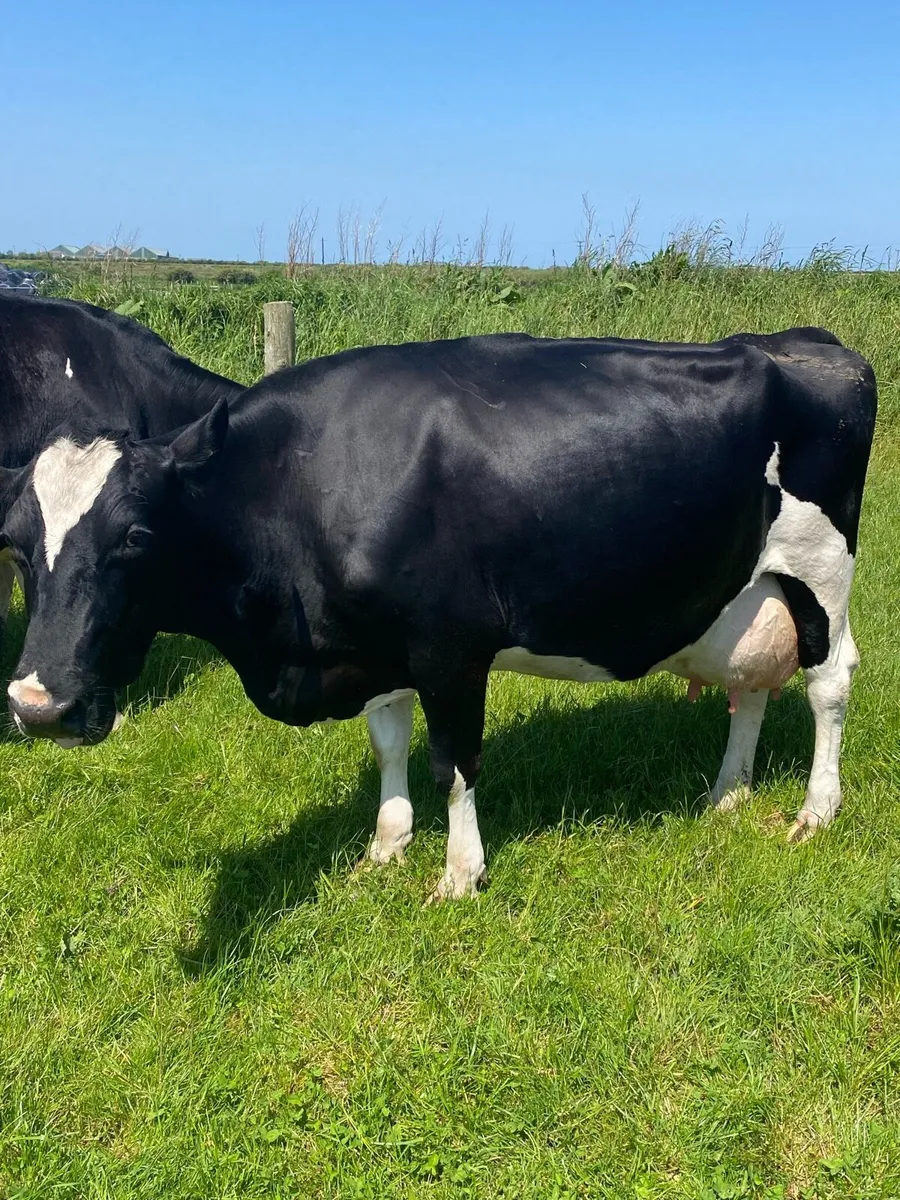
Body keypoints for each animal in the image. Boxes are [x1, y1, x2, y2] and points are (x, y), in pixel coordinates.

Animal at [1, 327, 876, 899]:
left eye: (137, 536)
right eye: (13, 543)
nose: (37, 705)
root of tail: (809, 341)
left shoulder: (450, 647)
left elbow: (453, 760)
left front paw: (459, 873)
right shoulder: (371, 642)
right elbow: (391, 743)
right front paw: (386, 845)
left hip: (820, 570)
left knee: (829, 682)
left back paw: (815, 810)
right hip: (751, 589)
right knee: (750, 684)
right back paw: (726, 793)